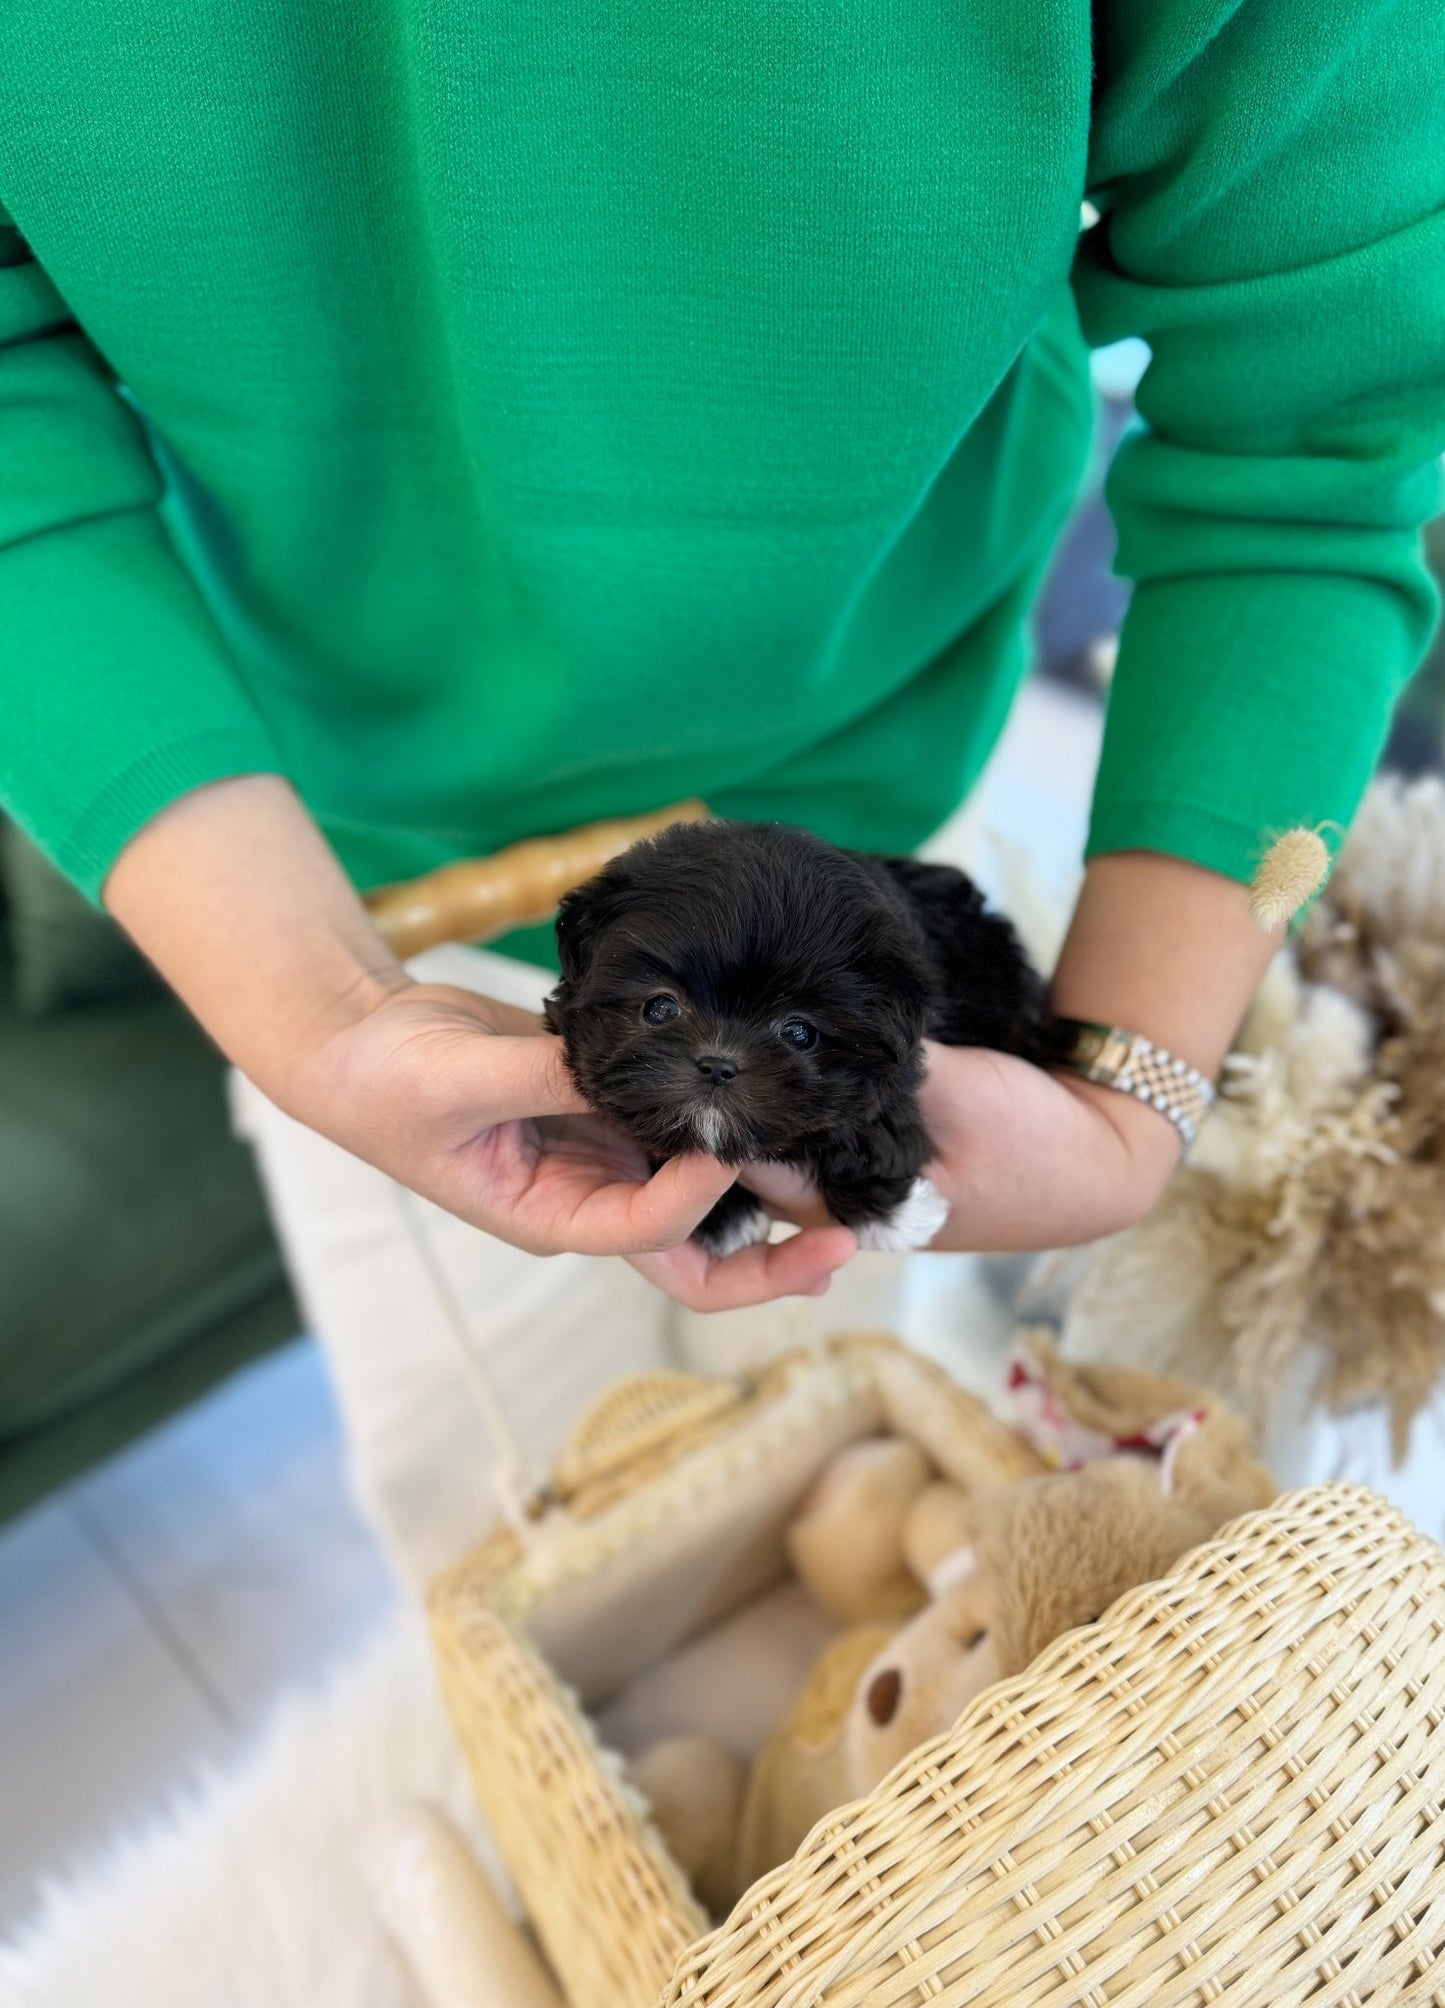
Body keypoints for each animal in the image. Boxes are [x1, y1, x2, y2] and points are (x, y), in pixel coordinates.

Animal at [541, 815, 1059, 1252]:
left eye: (799, 1033)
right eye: (659, 1008)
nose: (717, 1064)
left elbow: (873, 1118)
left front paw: (891, 1217)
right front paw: (721, 1217)